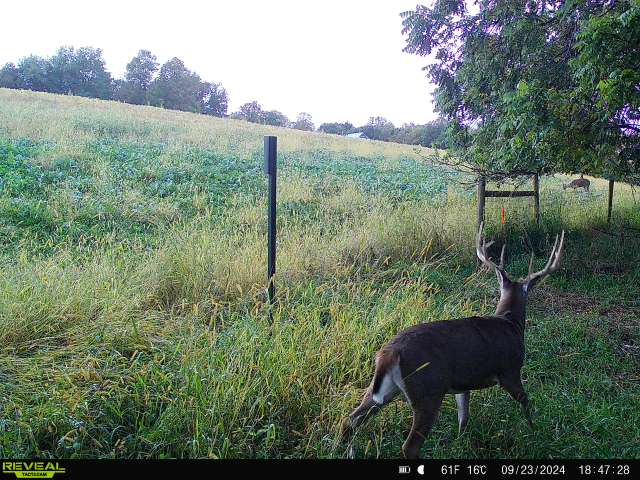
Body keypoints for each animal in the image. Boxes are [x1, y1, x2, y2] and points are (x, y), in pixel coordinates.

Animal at [341, 223, 565, 459]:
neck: (510, 323)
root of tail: (390, 353)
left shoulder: (463, 384)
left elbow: (463, 417)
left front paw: (460, 443)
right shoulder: (509, 370)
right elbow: (526, 401)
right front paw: (535, 433)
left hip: (383, 390)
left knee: (350, 420)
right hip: (428, 391)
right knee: (409, 446)